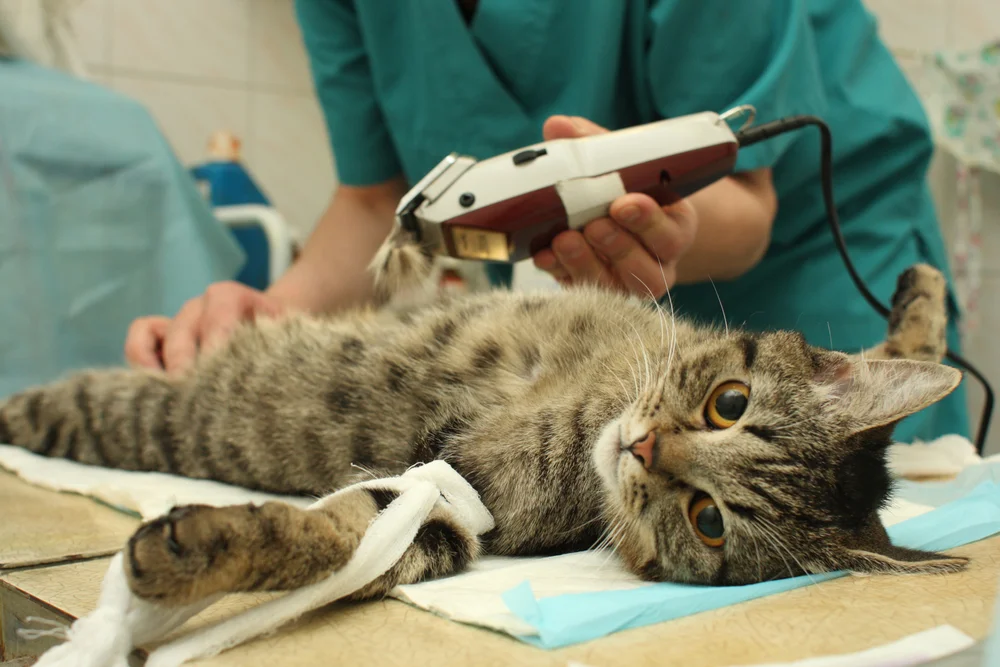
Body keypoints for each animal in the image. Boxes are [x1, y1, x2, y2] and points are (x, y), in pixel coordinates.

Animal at [0, 227, 968, 608]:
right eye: (728, 403)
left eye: (709, 521)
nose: (645, 444)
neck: (599, 404)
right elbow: (916, 358)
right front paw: (925, 293)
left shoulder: (446, 495)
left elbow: (339, 537)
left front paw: (206, 549)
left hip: (131, 410)